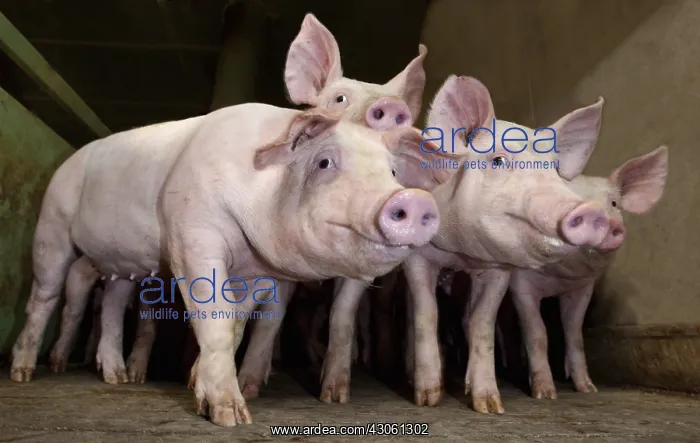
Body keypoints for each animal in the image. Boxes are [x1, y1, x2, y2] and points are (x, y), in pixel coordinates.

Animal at [10, 101, 444, 426]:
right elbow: (214, 319)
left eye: (391, 171)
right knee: (44, 297)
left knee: (111, 302)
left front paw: (196, 388)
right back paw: (26, 373)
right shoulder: (192, 233)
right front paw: (231, 417)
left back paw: (117, 379)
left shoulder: (253, 271)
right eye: (323, 163)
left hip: (121, 261)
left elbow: (235, 326)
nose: (413, 199)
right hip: (52, 224)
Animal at [231, 12, 428, 401]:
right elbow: (272, 315)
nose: (392, 108)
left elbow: (343, 313)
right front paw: (248, 388)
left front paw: (334, 395)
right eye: (339, 98)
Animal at [402, 75, 612, 414]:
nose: (591, 211)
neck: (461, 253)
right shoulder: (416, 257)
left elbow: (482, 322)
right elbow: (427, 313)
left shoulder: (499, 269)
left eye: (554, 170)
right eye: (498, 160)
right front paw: (429, 400)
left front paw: (490, 407)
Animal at [508, 145, 668, 399]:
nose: (600, 216)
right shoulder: (520, 284)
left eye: (614, 203)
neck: (560, 278)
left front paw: (588, 389)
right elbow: (537, 332)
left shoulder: (582, 289)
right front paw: (545, 395)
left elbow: (575, 335)